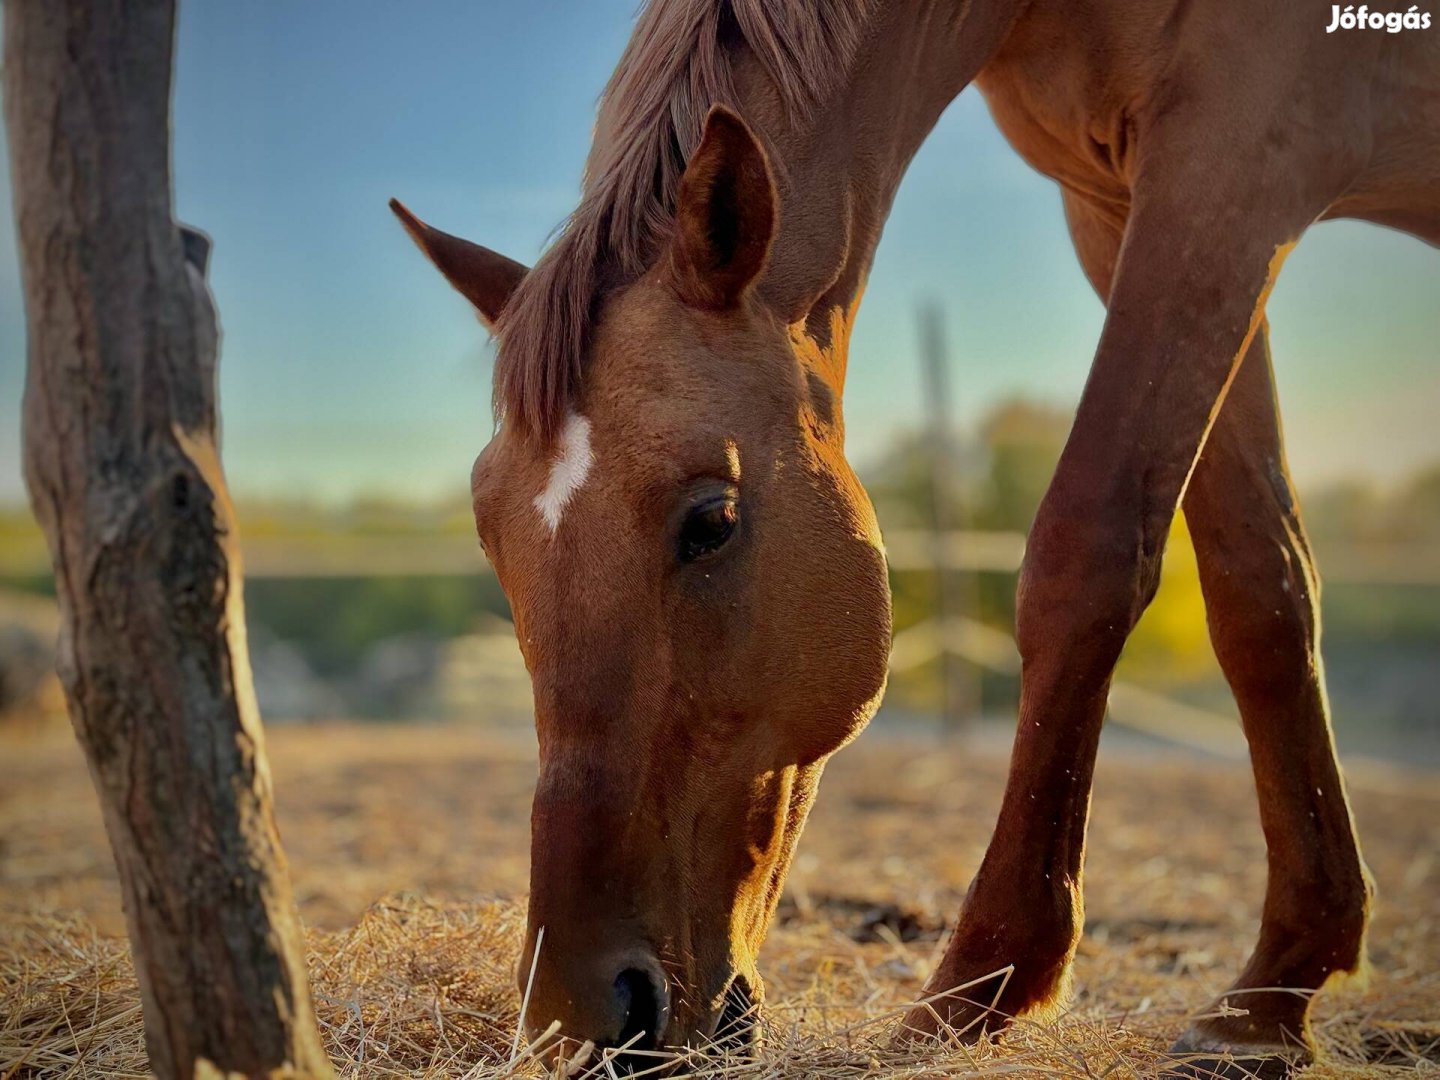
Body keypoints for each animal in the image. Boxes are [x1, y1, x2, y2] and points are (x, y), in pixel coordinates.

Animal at [388, 2, 1434, 1077]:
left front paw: (977, 990)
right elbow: (1262, 589)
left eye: (711, 520)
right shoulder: (1120, 206)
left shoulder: (1231, 167)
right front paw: (1274, 993)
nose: (580, 1019)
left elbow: (1089, 547)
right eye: (489, 537)